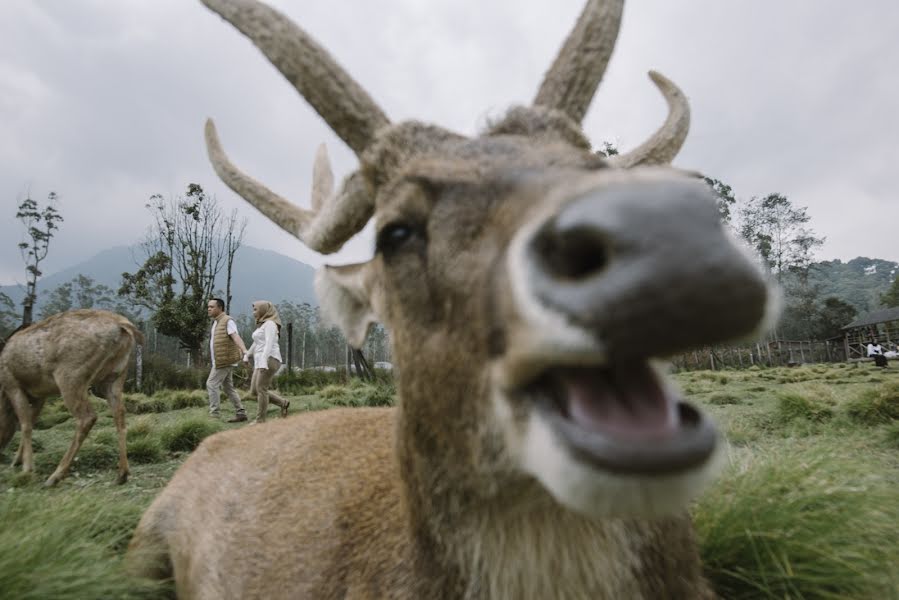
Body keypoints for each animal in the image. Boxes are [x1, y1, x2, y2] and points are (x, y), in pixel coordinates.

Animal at [0, 310, 142, 488]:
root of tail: (124, 325)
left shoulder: (12, 383)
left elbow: (25, 425)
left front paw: (27, 469)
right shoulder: (40, 394)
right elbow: (30, 421)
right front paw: (17, 461)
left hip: (71, 376)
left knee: (87, 417)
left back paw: (55, 476)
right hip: (114, 376)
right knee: (120, 415)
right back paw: (122, 474)